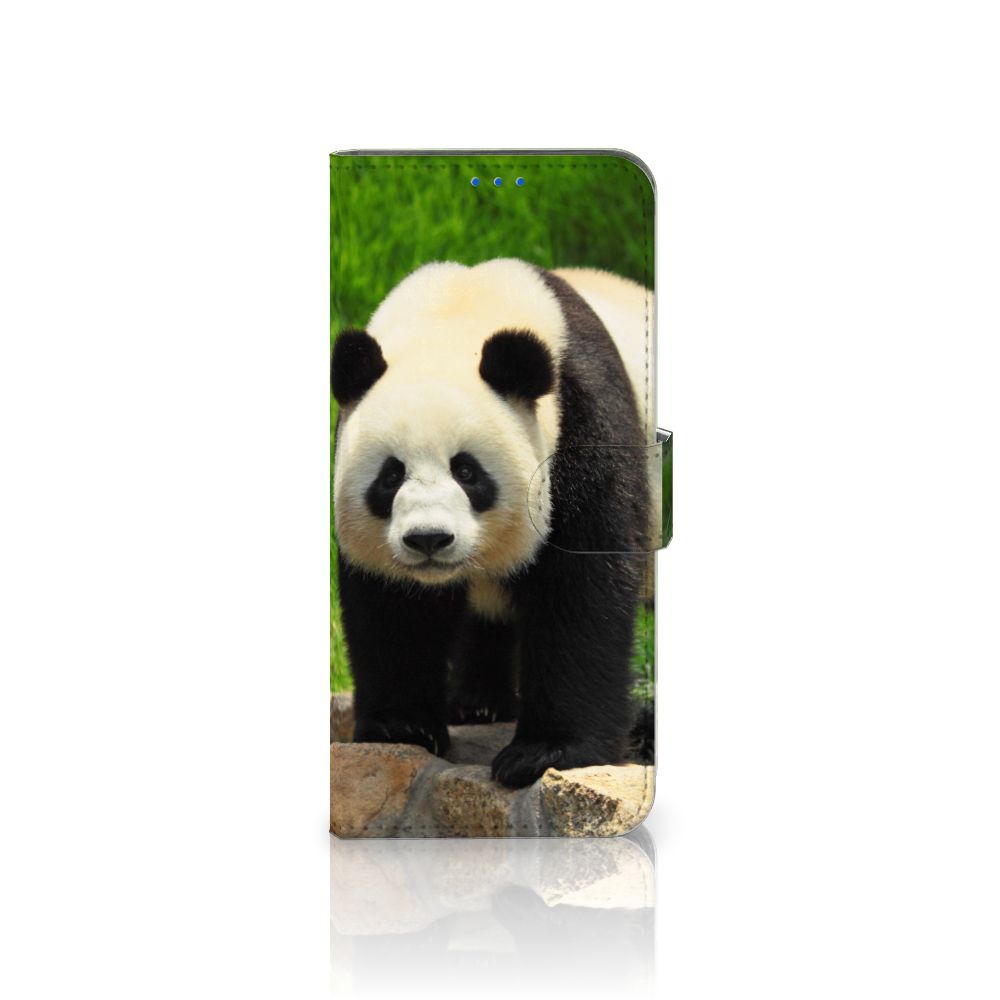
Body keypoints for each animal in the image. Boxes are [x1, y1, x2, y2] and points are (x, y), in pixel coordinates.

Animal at [332, 258, 654, 789]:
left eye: (467, 471)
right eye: (390, 475)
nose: (428, 539)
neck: (456, 310)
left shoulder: (583, 422)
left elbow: (582, 588)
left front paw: (545, 752)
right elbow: (393, 607)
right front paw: (402, 726)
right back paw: (478, 703)